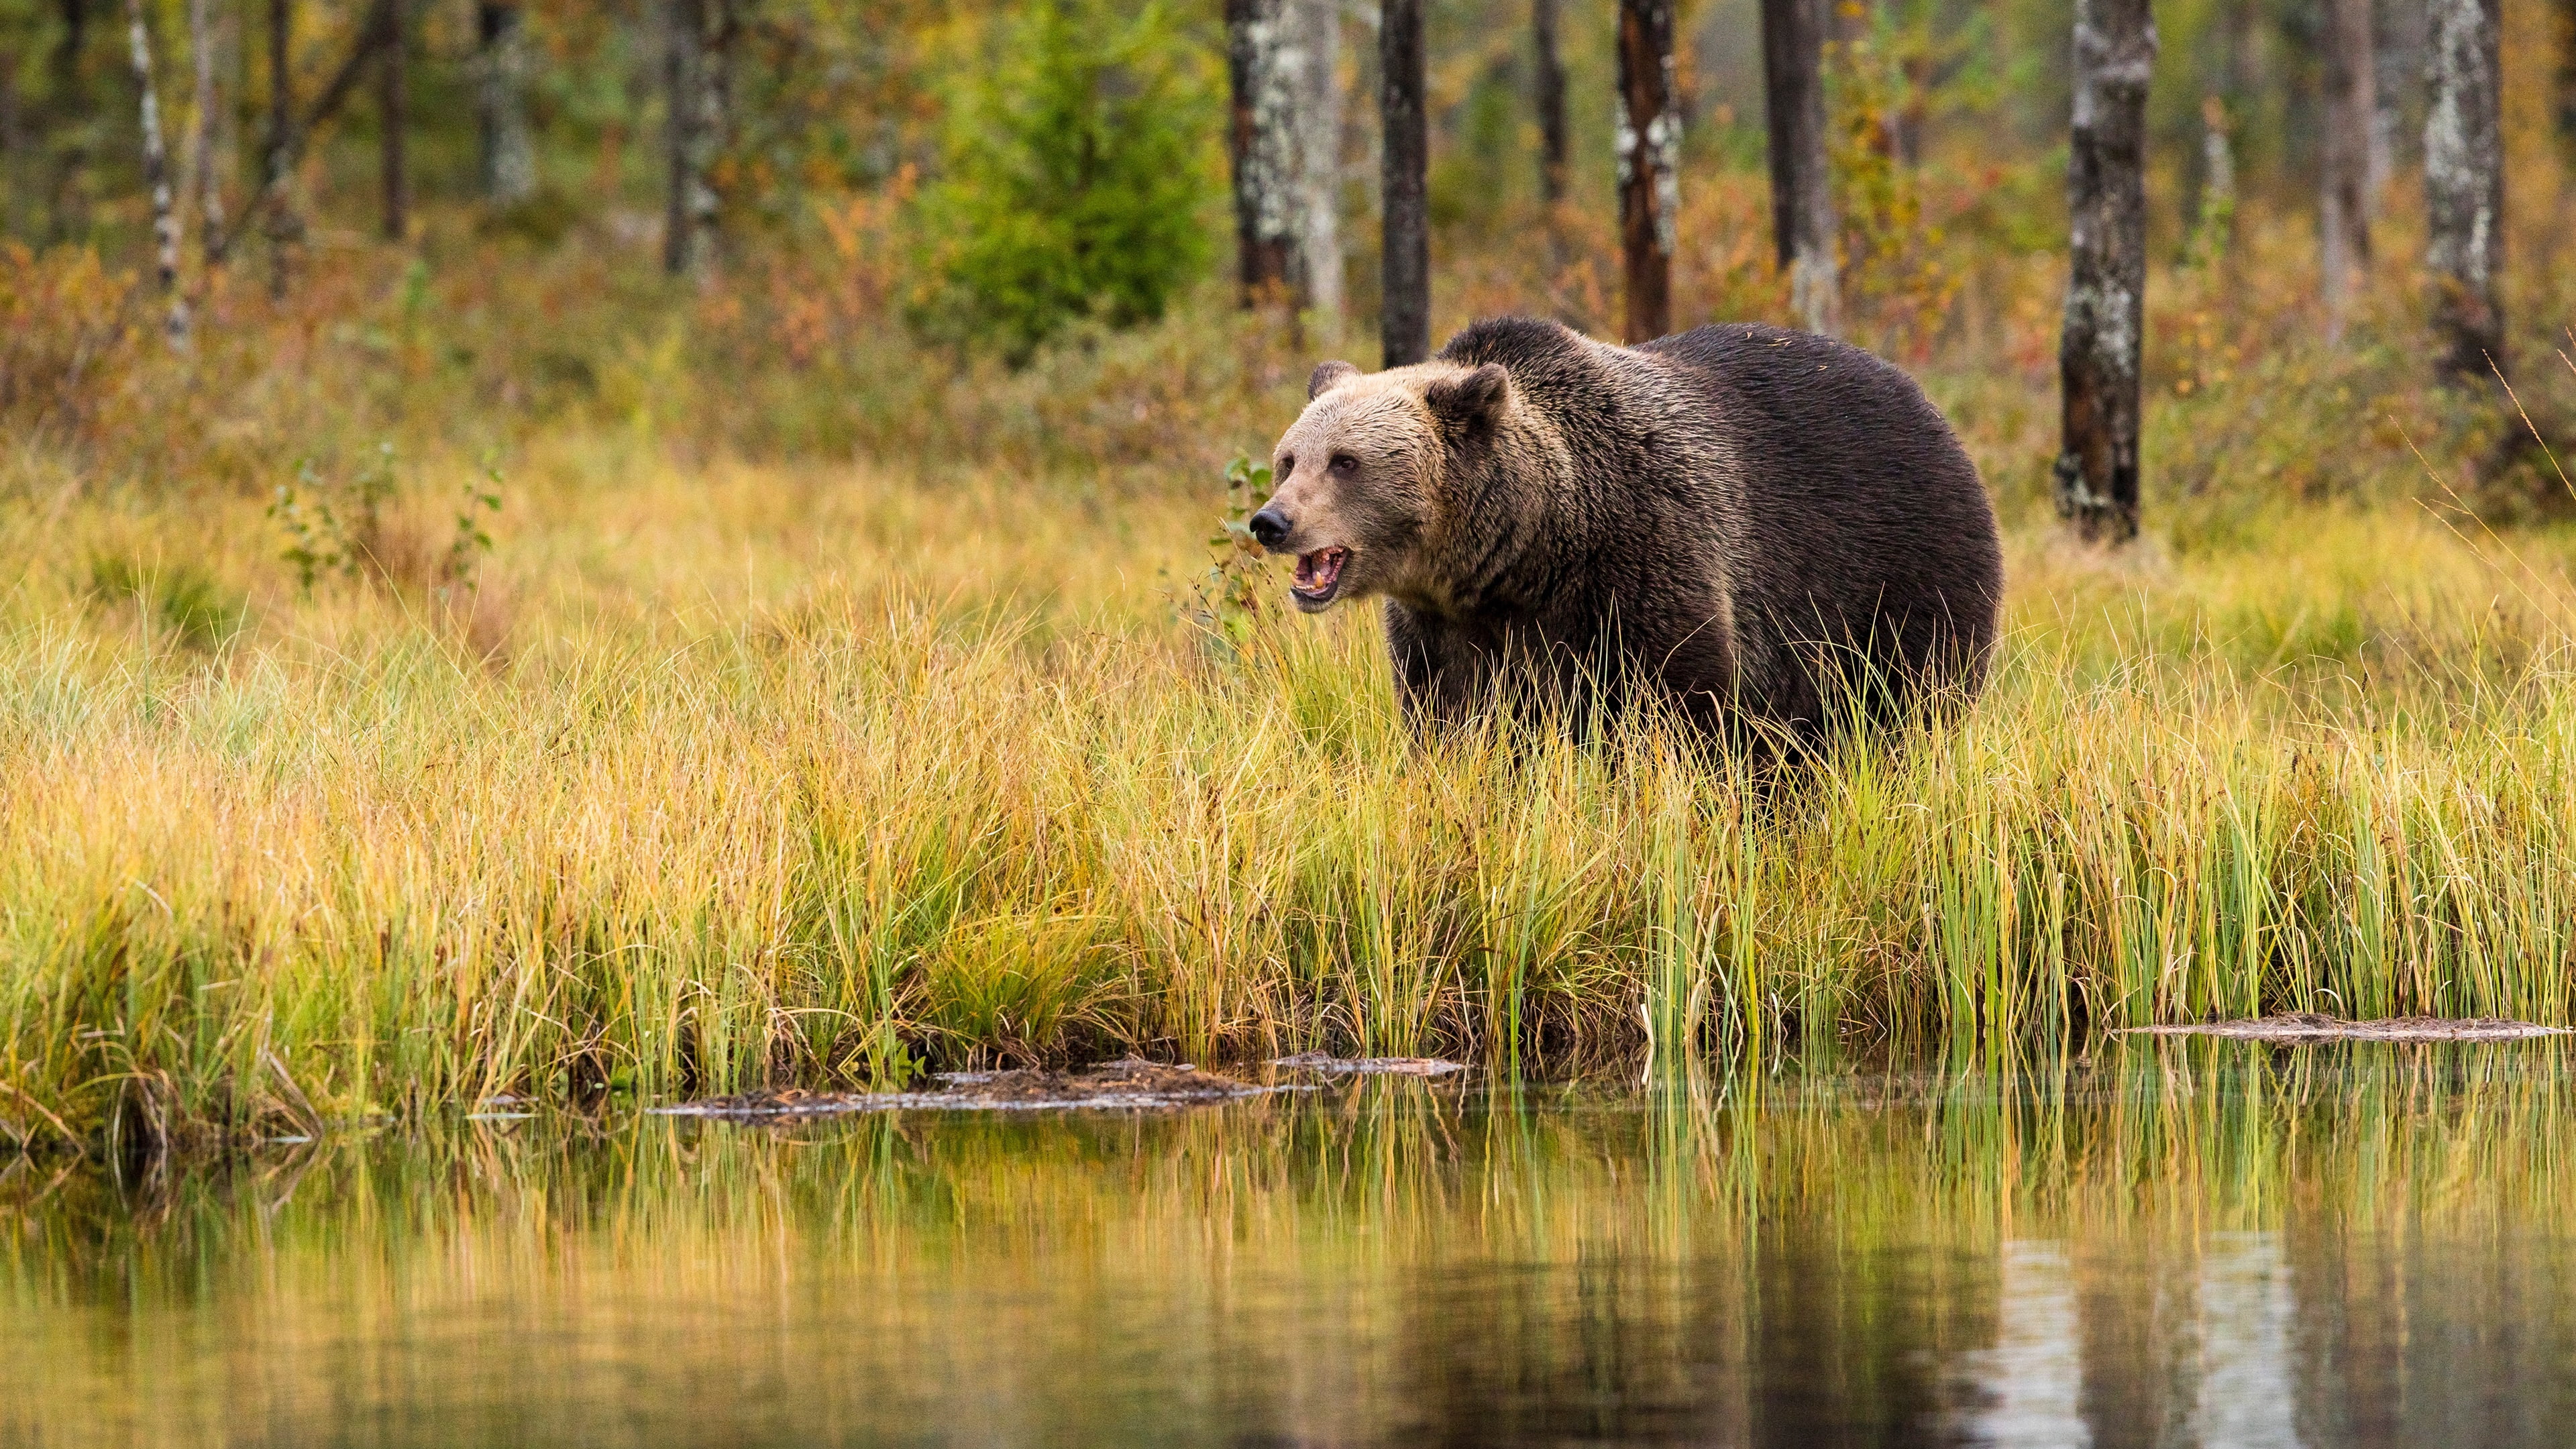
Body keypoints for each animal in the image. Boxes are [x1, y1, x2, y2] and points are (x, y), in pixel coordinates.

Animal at [1247, 316, 2003, 750]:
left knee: (1904, 707)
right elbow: (1453, 721)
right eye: (1289, 458)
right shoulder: (1448, 630)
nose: (1271, 521)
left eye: (1345, 462)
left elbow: (1682, 709)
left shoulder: (1644, 564)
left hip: (1899, 574)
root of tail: (1928, 405)